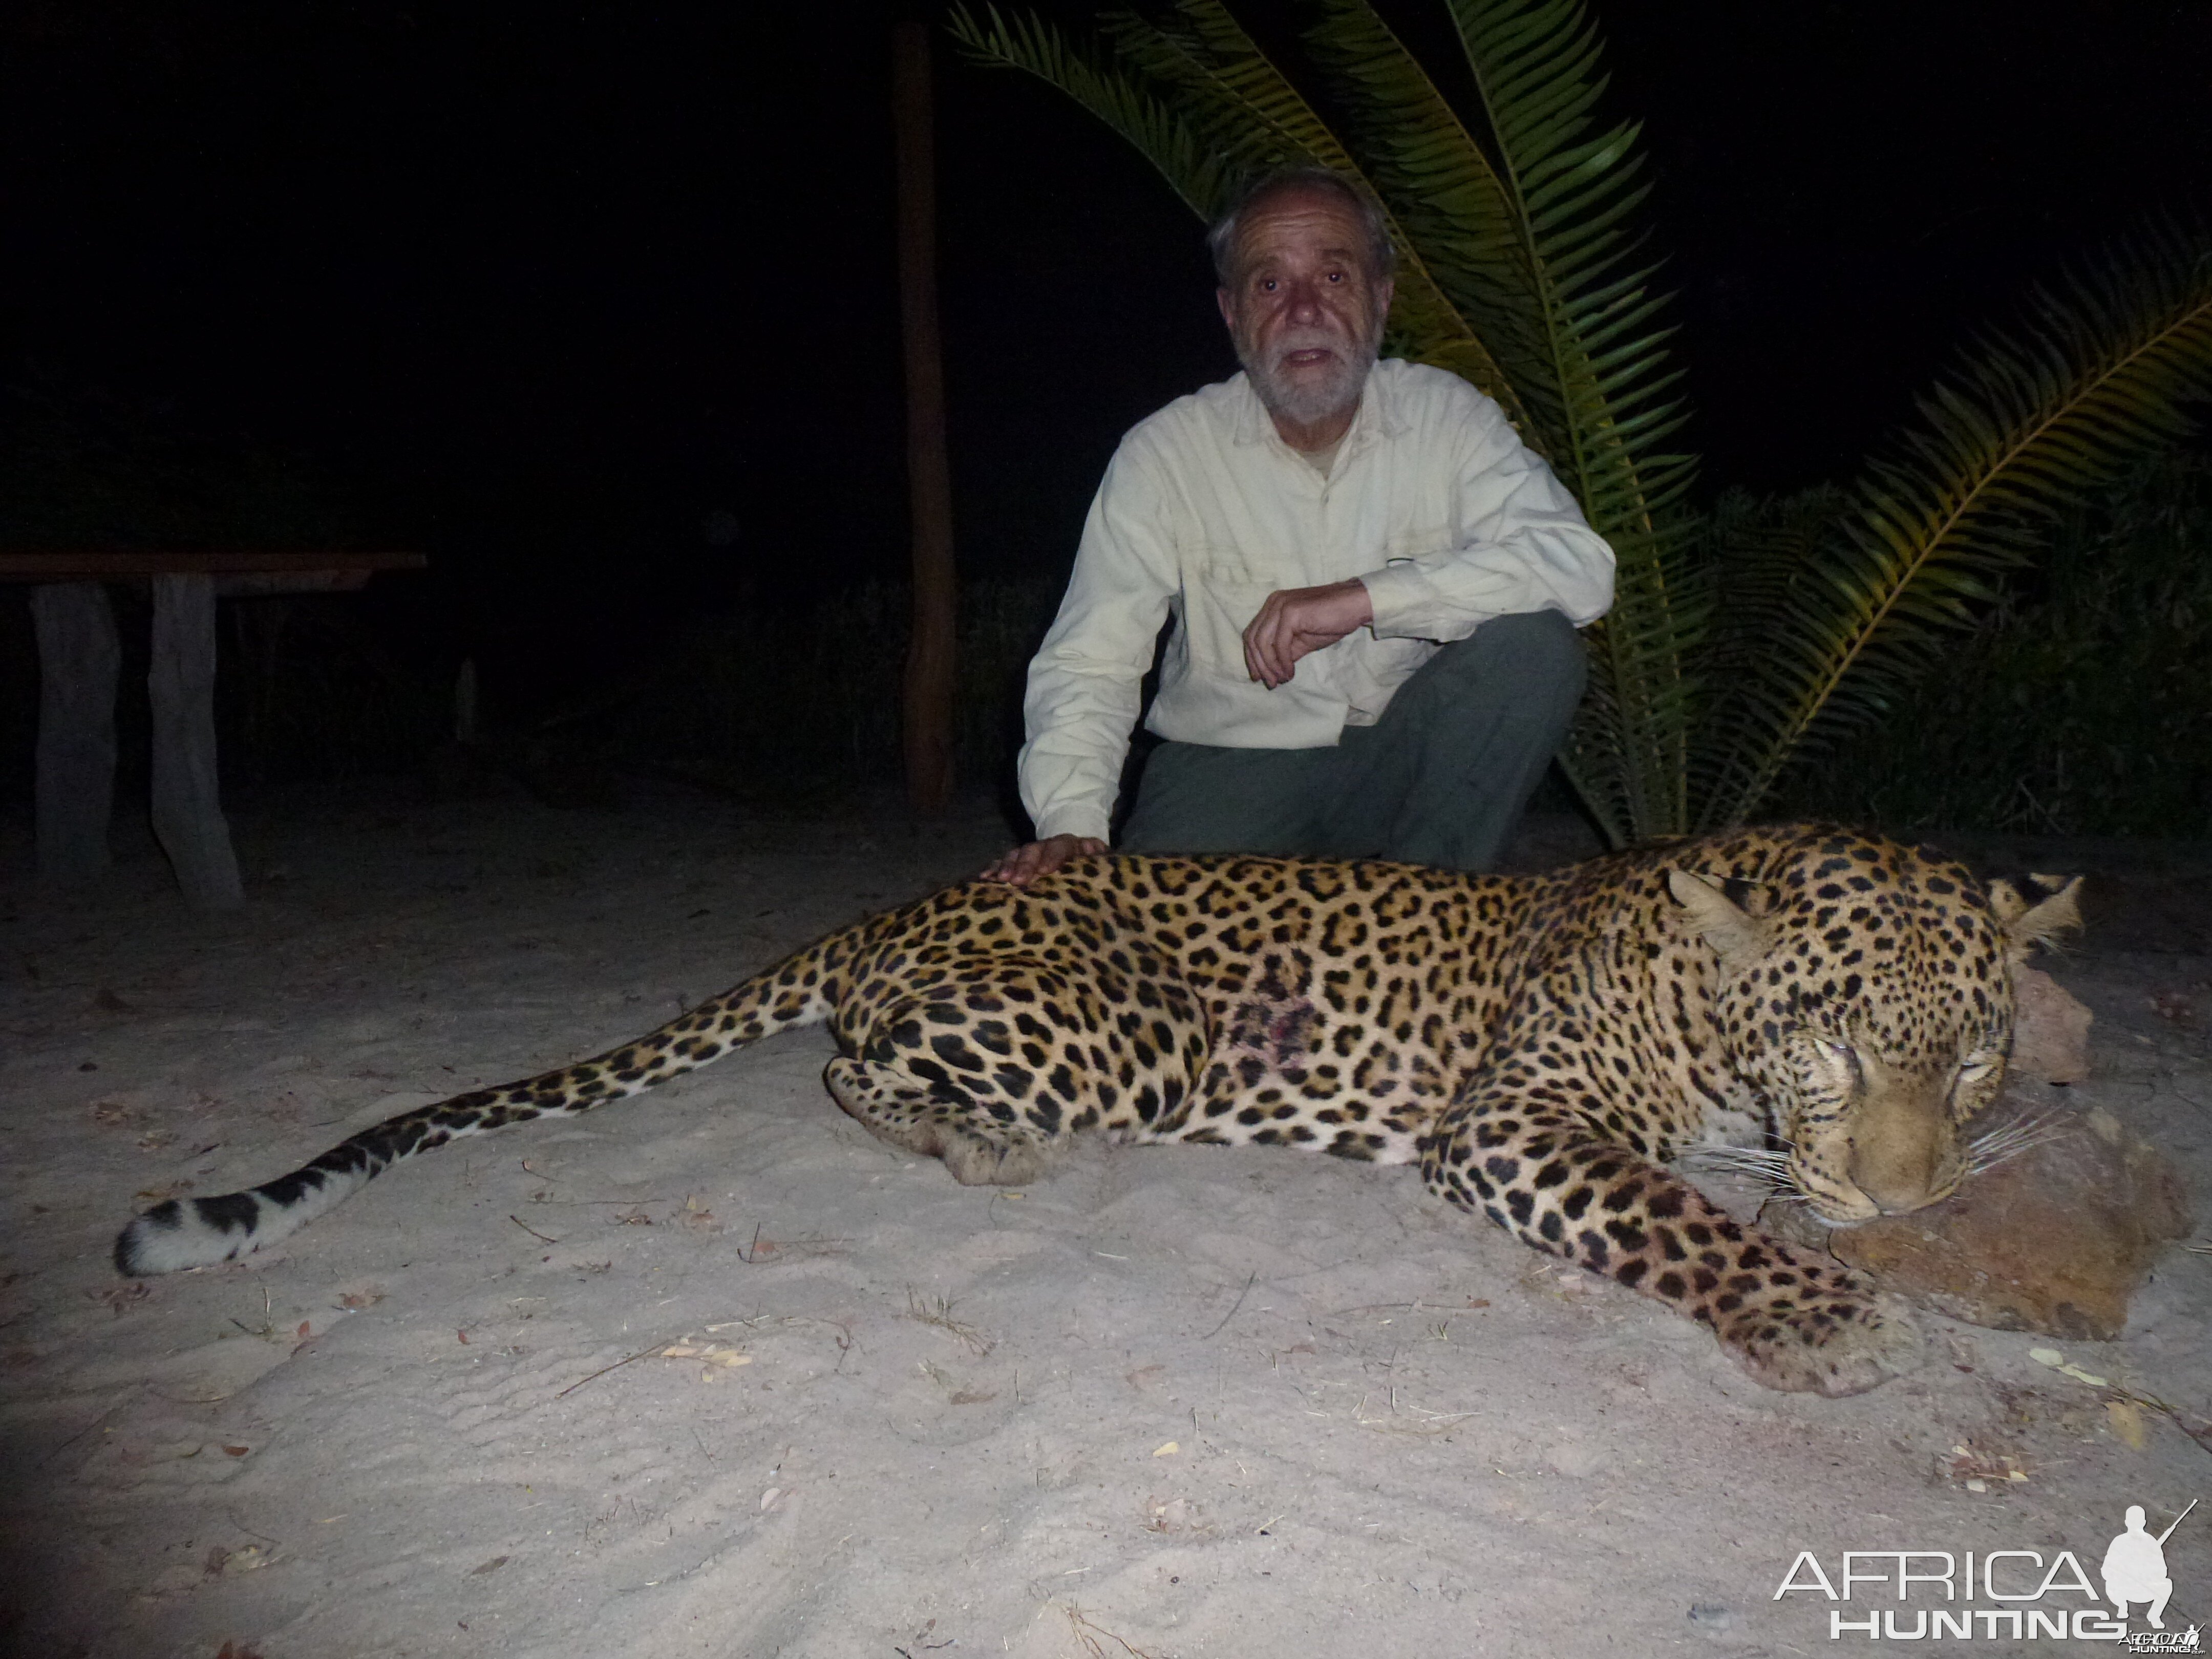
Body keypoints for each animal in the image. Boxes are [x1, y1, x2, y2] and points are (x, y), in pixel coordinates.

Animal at [108, 827, 2070, 1398]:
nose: (1907, 1201)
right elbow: (1676, 1214)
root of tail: (909, 901)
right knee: (852, 1067)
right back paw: (985, 1144)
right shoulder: (1514, 1121)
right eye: (1830, 1044)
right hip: (1137, 1037)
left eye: (1975, 1056)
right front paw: (1826, 1313)